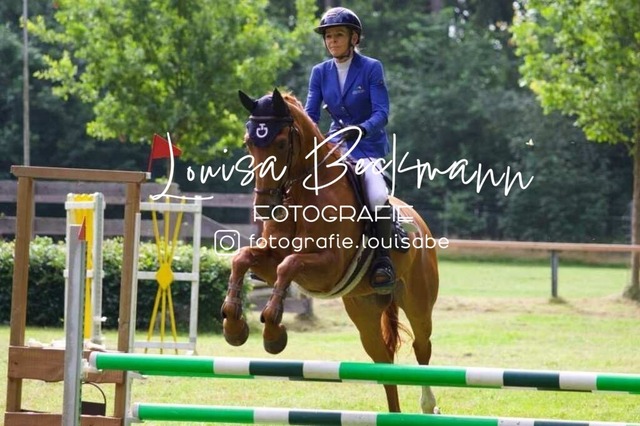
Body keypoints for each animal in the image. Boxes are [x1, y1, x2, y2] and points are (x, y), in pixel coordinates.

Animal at [220, 88, 439, 414]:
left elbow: (289, 265)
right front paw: (233, 324)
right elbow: (242, 258)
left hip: (417, 303)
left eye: (281, 143)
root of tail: (421, 224)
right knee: (384, 361)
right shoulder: (271, 259)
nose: (264, 206)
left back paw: (429, 405)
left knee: (422, 347)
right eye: (249, 143)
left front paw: (273, 332)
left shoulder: (328, 268)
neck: (302, 195)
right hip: (364, 310)